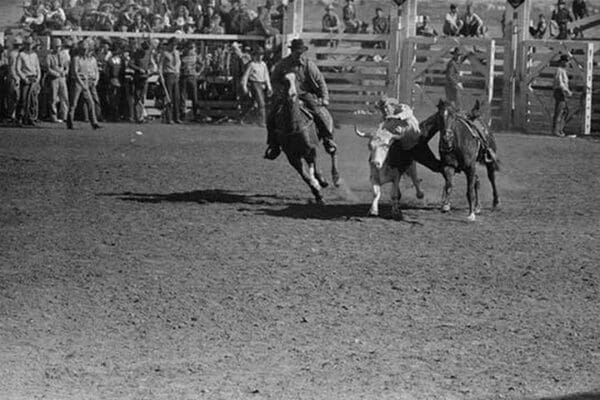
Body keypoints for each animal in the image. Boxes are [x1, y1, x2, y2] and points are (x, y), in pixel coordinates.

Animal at [274, 72, 340, 203]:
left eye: (297, 81)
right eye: (284, 81)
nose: (292, 94)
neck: (294, 126)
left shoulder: (311, 150)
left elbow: (314, 170)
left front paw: (321, 183)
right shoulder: (292, 157)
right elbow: (305, 176)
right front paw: (318, 194)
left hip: (328, 134)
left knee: (332, 151)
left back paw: (335, 178)